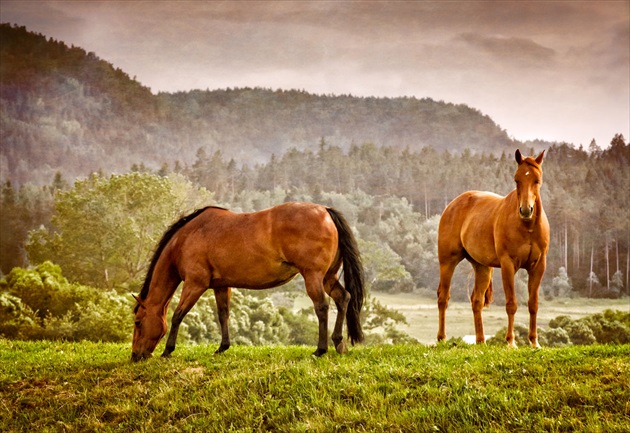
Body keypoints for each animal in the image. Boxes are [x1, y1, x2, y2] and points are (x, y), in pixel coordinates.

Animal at [131, 201, 366, 360]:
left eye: (138, 322)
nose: (135, 356)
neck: (187, 237)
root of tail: (325, 211)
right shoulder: (221, 286)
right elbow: (223, 315)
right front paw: (222, 347)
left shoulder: (194, 285)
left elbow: (178, 315)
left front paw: (167, 350)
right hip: (328, 277)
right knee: (343, 298)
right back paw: (339, 343)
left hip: (313, 276)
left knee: (322, 306)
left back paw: (320, 349)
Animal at [436, 150, 552, 346]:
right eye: (517, 179)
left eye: (537, 180)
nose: (526, 210)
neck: (527, 227)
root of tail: (452, 205)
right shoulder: (508, 265)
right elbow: (511, 304)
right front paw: (511, 342)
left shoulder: (538, 266)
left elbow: (533, 304)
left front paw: (534, 342)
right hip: (447, 262)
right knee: (443, 298)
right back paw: (442, 338)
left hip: (482, 267)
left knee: (476, 301)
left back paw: (481, 341)